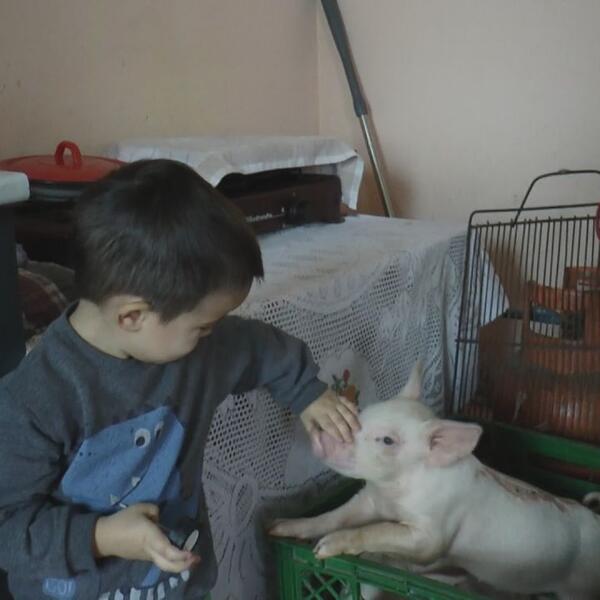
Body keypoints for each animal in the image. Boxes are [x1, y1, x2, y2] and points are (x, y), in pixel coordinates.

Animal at [270, 363, 600, 600]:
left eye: (387, 440)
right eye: (363, 413)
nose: (322, 435)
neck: (395, 494)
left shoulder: (432, 533)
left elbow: (381, 530)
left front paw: (324, 548)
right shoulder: (369, 500)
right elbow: (334, 517)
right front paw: (278, 528)